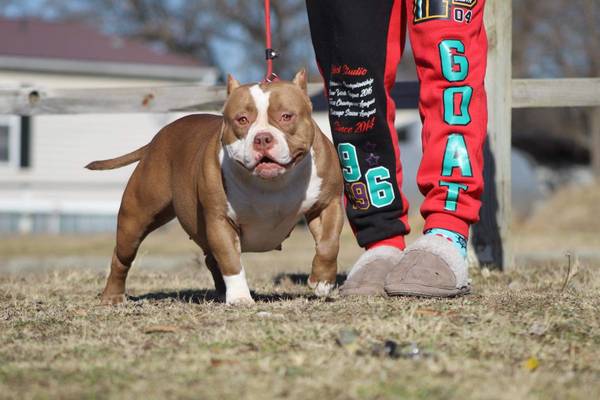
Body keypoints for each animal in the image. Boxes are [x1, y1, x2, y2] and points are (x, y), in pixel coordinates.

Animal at [86, 70, 344, 304]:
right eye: (242, 119)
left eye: (286, 116)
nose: (262, 138)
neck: (272, 183)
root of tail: (155, 140)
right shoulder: (220, 220)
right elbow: (231, 261)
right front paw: (240, 298)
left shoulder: (327, 205)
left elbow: (329, 243)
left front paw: (323, 281)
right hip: (136, 217)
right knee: (122, 257)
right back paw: (112, 296)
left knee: (211, 259)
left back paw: (221, 291)